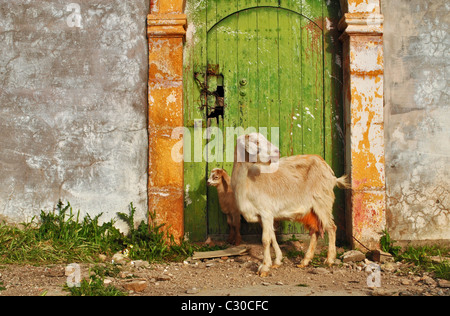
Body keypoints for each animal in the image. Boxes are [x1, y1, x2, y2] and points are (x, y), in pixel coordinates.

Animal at [232, 133, 352, 276]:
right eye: (255, 142)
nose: (277, 152)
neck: (247, 181)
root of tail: (329, 172)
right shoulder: (264, 217)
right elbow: (272, 237)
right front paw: (277, 261)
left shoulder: (266, 212)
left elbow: (266, 240)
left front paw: (264, 267)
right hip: (312, 209)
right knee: (315, 232)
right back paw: (305, 261)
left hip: (323, 201)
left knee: (331, 227)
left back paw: (329, 259)